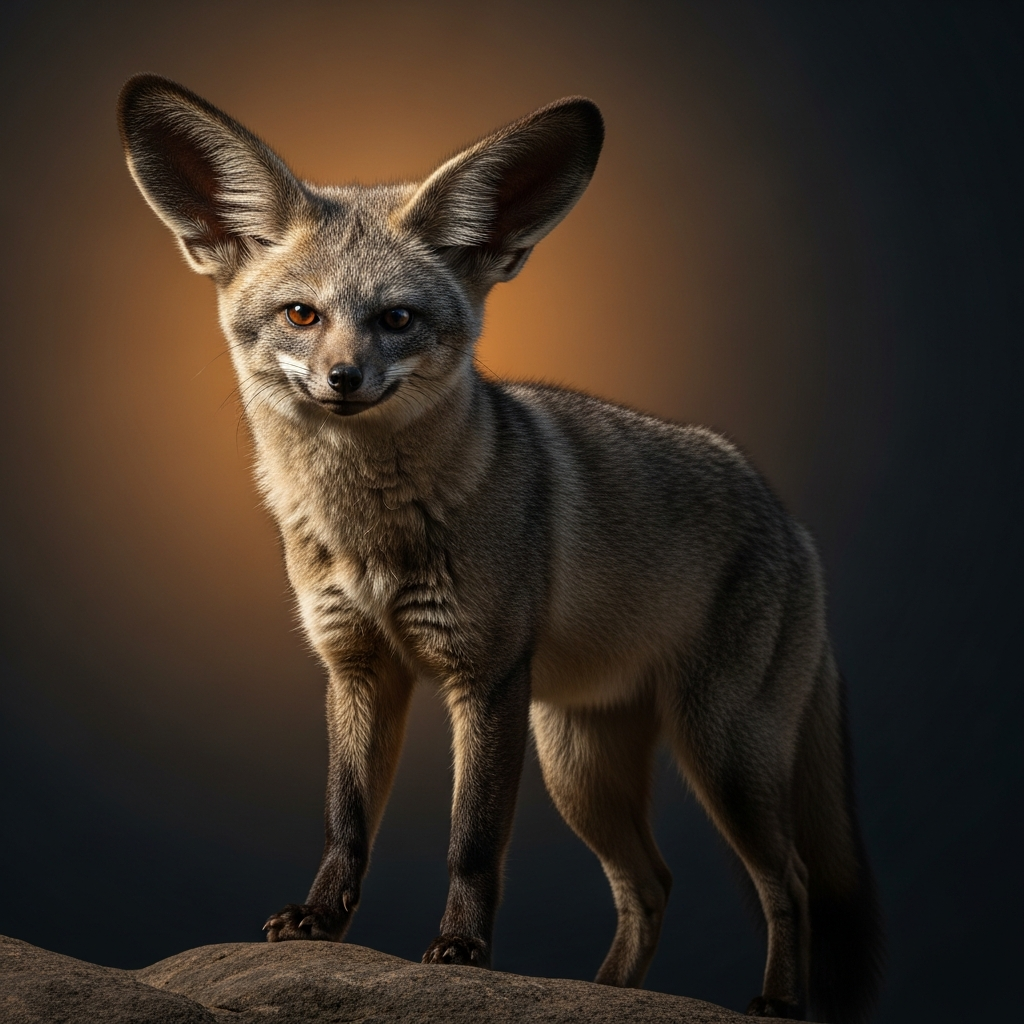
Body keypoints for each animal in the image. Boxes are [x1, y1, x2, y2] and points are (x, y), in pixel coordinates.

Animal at [117, 75, 883, 1021]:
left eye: (397, 319)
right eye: (302, 314)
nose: (343, 380)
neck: (371, 534)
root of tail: (790, 520)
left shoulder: (484, 678)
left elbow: (473, 842)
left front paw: (463, 952)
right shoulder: (357, 668)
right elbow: (346, 820)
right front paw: (321, 922)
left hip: (719, 751)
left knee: (792, 882)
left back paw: (776, 1001)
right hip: (581, 766)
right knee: (651, 884)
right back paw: (601, 992)